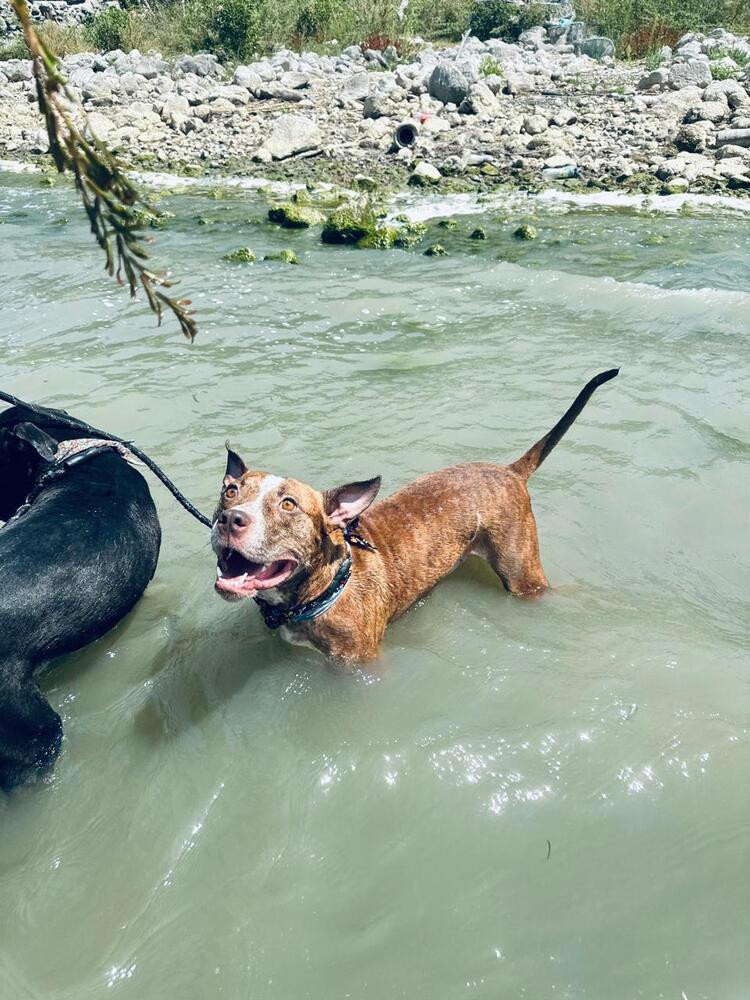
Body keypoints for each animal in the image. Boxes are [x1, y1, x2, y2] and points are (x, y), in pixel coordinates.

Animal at [210, 368, 616, 664]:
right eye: (230, 492)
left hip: (523, 576)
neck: (321, 589)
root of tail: (510, 471)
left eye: (288, 504)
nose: (230, 519)